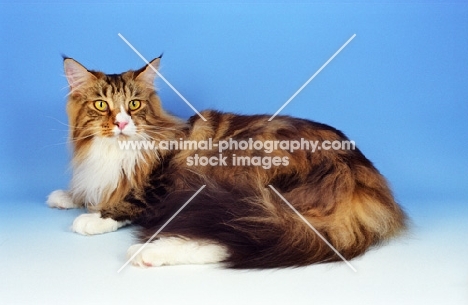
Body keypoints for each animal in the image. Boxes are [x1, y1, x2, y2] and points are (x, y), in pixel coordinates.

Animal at [47, 55, 406, 268]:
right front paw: (66, 196)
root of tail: (364, 176)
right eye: (101, 105)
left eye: (134, 104)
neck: (113, 150)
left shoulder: (160, 186)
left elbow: (125, 202)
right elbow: (90, 189)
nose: (122, 123)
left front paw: (93, 218)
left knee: (234, 238)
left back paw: (147, 253)